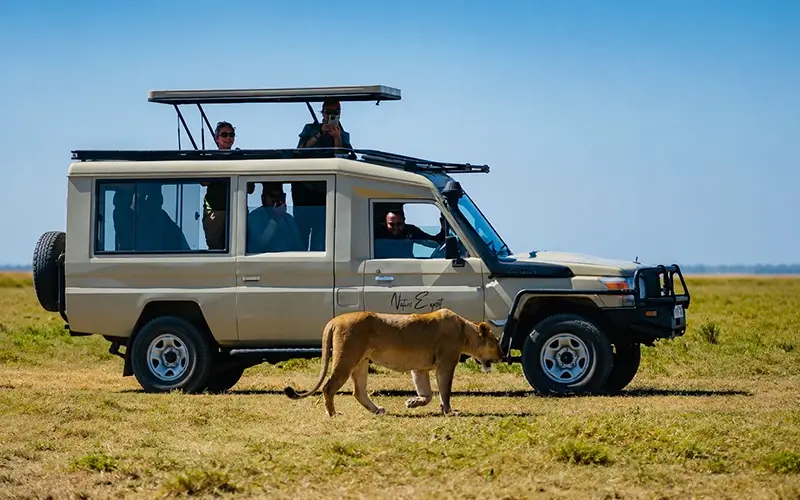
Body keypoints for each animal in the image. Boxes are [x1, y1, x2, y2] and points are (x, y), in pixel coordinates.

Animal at [283, 308, 504, 416]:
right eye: (496, 342)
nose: (503, 355)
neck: (465, 330)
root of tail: (334, 320)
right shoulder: (446, 364)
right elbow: (444, 391)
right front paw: (450, 412)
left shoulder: (420, 369)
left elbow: (428, 394)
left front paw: (413, 402)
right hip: (346, 358)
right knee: (328, 387)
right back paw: (334, 414)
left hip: (361, 362)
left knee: (358, 391)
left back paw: (377, 410)